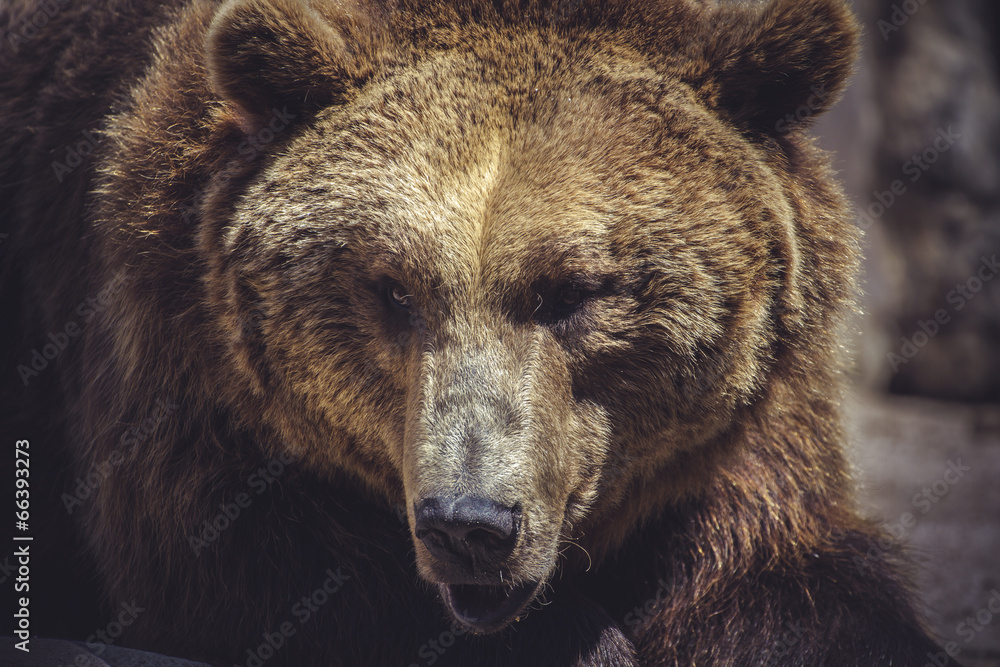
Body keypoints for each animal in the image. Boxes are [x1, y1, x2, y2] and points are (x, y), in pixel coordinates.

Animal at [0, 0, 956, 665]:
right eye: (392, 288)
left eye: (575, 290)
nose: (469, 522)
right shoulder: (184, 357)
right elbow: (249, 561)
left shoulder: (747, 431)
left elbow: (787, 582)